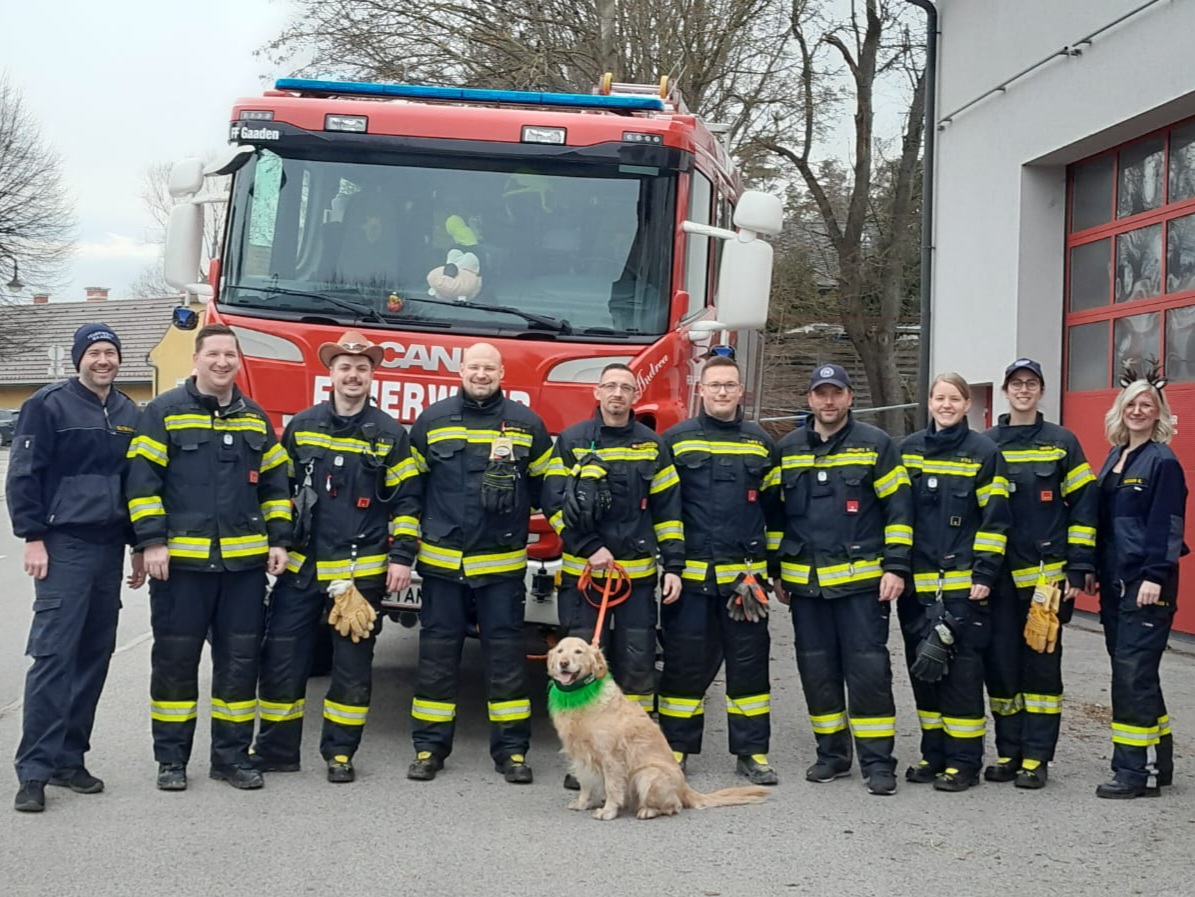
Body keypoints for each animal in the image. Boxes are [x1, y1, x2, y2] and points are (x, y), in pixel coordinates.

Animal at [546, 637, 768, 820]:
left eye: (578, 651)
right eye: (560, 651)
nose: (563, 663)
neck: (582, 695)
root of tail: (685, 788)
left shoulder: (610, 757)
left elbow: (612, 787)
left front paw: (608, 811)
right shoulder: (579, 755)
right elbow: (584, 783)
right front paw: (583, 803)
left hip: (647, 775)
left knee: (674, 806)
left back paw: (647, 811)